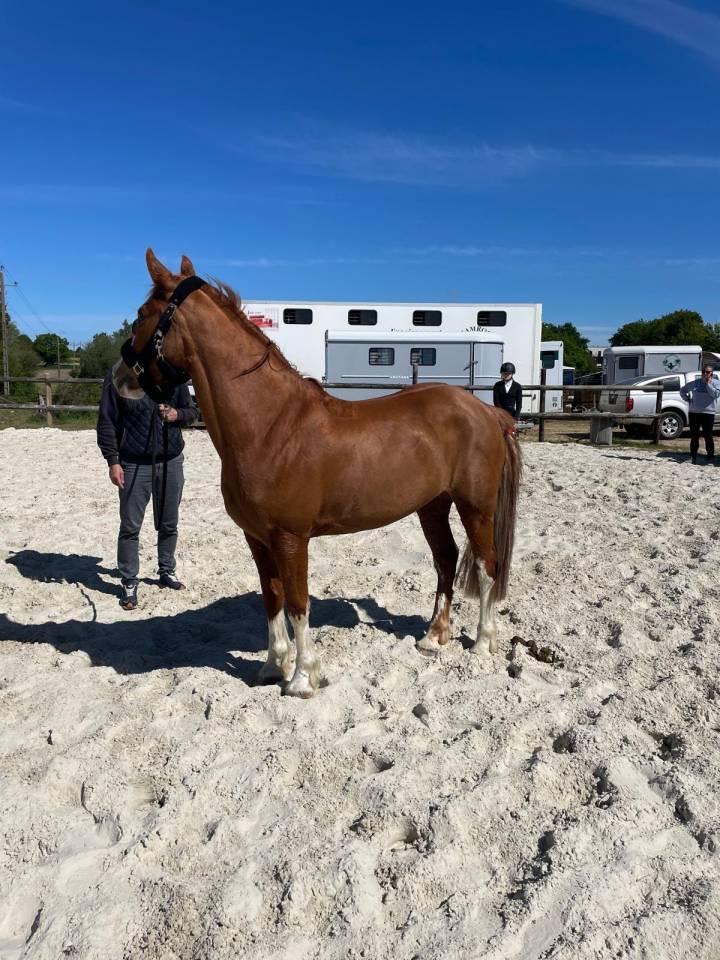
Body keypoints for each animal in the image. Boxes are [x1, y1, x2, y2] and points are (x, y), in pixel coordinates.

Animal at [112, 250, 522, 698]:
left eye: (140, 316)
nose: (119, 378)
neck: (270, 425)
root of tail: (485, 411)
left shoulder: (291, 538)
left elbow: (297, 603)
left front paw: (302, 679)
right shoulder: (257, 538)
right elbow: (272, 599)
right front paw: (272, 667)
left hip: (475, 507)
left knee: (486, 565)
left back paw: (482, 642)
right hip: (432, 505)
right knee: (445, 559)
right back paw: (433, 637)